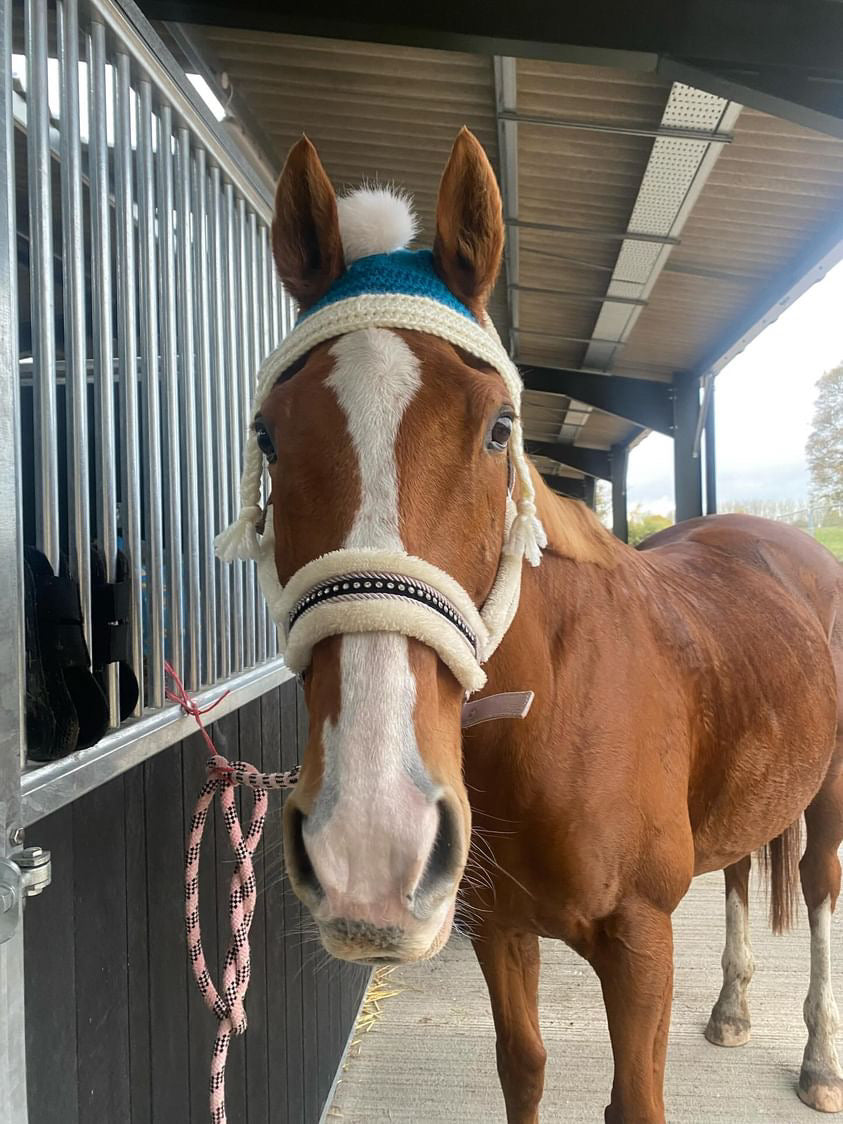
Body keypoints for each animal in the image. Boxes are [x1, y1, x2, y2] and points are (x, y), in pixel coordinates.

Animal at [222, 127, 843, 1119]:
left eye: (498, 427)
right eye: (269, 435)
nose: (371, 843)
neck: (552, 710)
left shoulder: (638, 943)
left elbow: (634, 1100)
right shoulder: (497, 930)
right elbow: (523, 1067)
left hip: (826, 793)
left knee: (818, 890)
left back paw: (818, 1058)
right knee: (743, 868)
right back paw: (732, 1007)